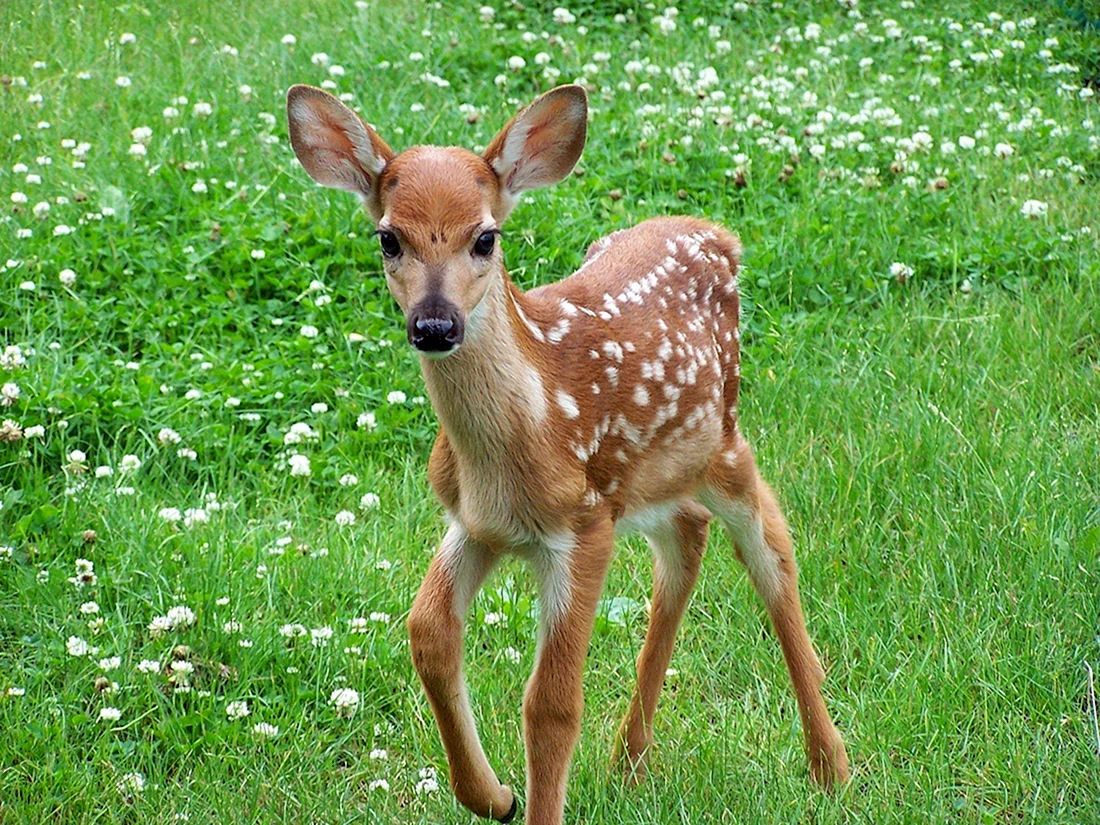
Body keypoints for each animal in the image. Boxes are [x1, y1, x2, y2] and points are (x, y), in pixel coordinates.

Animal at [286, 82, 850, 825]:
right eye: (388, 237)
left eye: (485, 238)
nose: (435, 324)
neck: (526, 430)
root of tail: (721, 235)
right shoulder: (475, 523)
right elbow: (428, 633)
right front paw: (495, 795)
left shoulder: (582, 525)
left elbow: (550, 705)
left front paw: (526, 798)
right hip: (649, 479)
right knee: (685, 539)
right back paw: (629, 760)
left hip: (721, 442)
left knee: (772, 552)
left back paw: (830, 767)